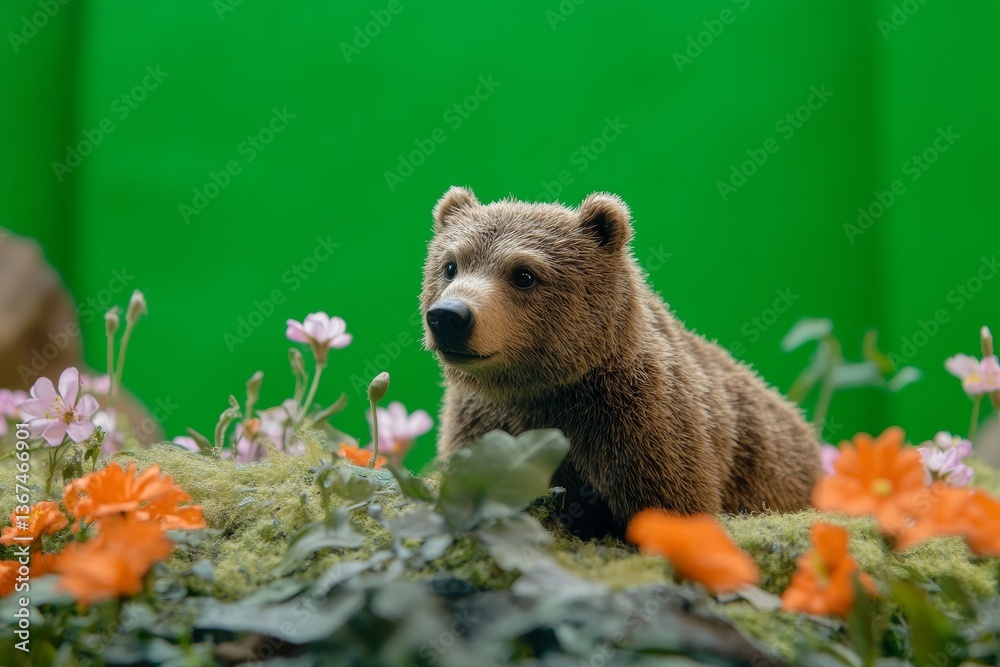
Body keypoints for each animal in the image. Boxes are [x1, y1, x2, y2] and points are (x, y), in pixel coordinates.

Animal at [421, 186, 822, 539]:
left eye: (524, 274)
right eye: (451, 265)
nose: (449, 316)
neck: (540, 387)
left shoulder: (641, 421)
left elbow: (673, 502)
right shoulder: (483, 419)